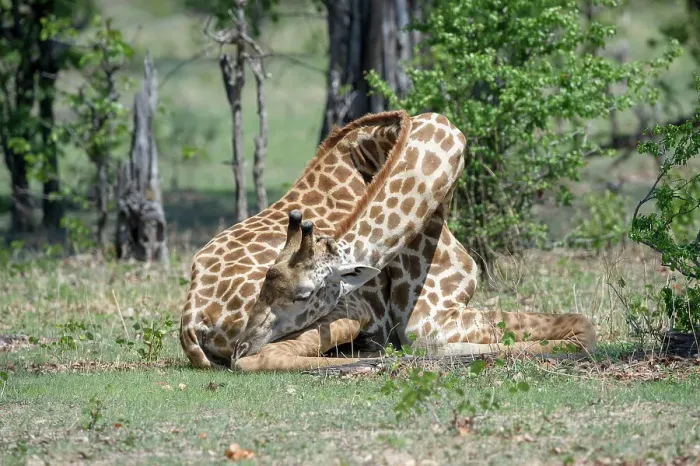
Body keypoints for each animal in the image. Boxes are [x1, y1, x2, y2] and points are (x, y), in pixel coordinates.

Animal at [179, 110, 596, 372]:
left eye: (302, 295)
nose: (244, 342)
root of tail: (193, 321)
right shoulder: (429, 320)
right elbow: (582, 329)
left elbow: (579, 324)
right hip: (354, 312)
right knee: (264, 359)